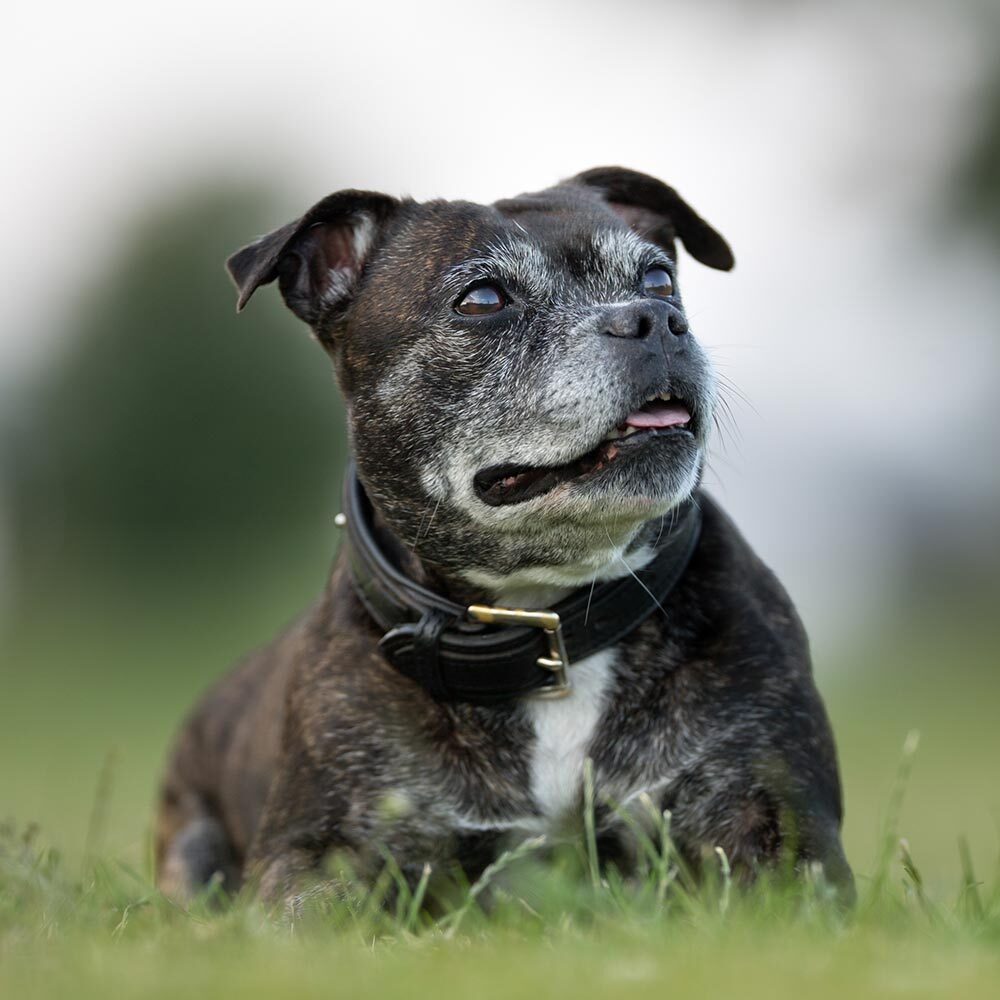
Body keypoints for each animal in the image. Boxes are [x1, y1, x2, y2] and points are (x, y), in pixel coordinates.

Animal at [156, 170, 852, 908]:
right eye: (484, 299)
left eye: (659, 278)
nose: (654, 319)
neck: (542, 615)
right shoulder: (312, 853)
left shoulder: (773, 816)